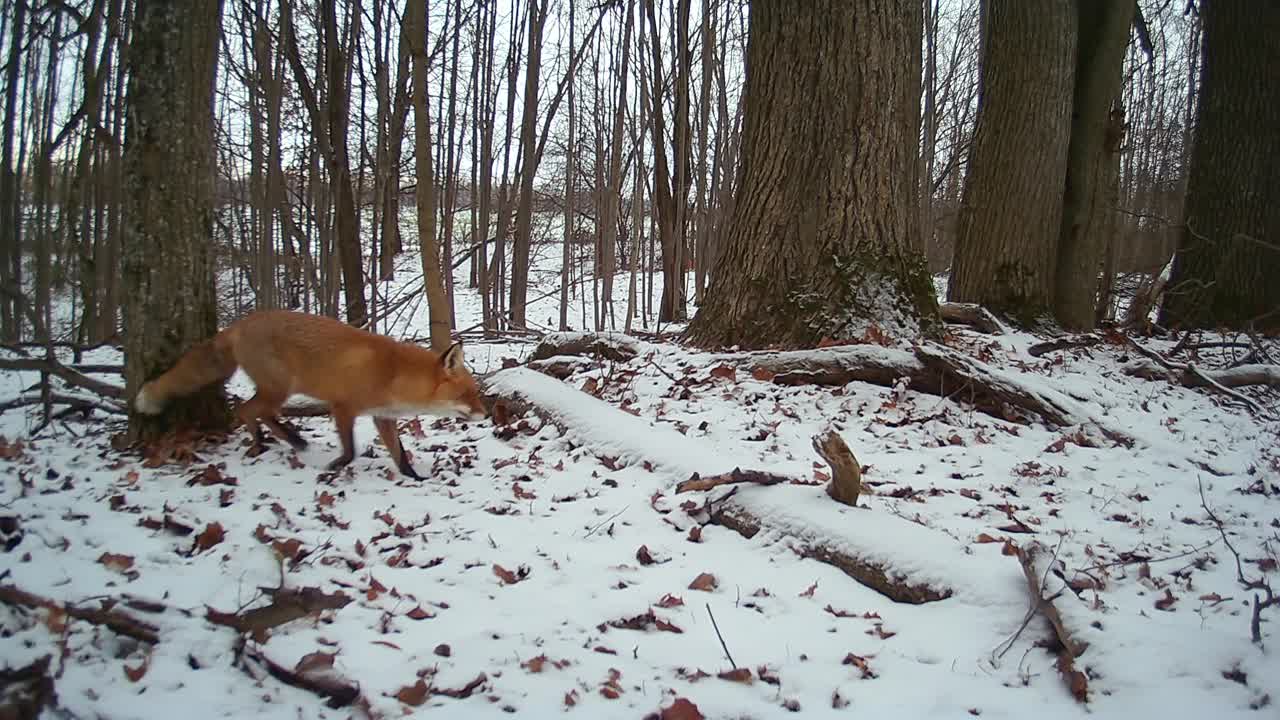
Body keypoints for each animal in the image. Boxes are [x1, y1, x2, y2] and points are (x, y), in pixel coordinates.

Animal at [133, 307, 483, 476]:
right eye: (467, 395)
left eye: (476, 393)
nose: (484, 414)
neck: (393, 374)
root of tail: (239, 324)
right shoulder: (342, 407)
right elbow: (351, 450)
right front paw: (335, 467)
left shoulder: (382, 417)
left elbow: (400, 455)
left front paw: (413, 478)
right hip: (279, 388)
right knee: (243, 410)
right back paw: (262, 442)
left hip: (277, 391)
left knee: (261, 413)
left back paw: (292, 439)